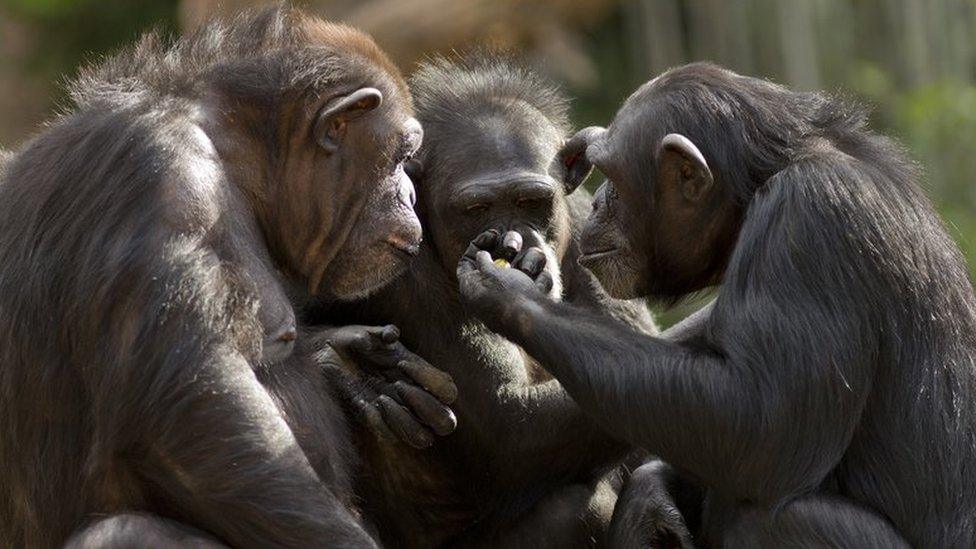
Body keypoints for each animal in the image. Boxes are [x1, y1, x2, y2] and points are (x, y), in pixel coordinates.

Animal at [0, 8, 458, 548]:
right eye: (401, 156)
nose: (410, 193)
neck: (233, 157)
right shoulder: (162, 178)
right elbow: (198, 420)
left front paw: (353, 365)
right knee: (128, 530)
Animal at [312, 52, 660, 548]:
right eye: (476, 209)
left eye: (532, 201)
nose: (512, 243)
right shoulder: (397, 273)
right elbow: (508, 423)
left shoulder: (591, 226)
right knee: (576, 508)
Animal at [456, 61, 976, 548]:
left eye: (613, 178)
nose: (598, 201)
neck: (759, 185)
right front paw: (650, 501)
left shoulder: (810, 221)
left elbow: (761, 422)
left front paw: (511, 292)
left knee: (767, 517)